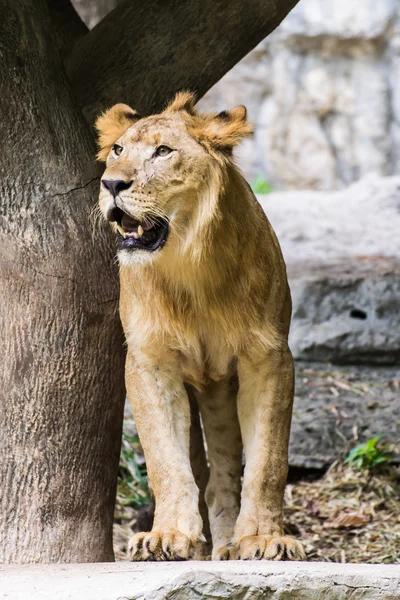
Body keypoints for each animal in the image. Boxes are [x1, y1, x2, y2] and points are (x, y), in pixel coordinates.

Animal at [95, 90, 304, 564]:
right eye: (117, 150)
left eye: (163, 151)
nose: (112, 185)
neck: (190, 268)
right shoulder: (149, 361)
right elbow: (164, 459)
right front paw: (167, 535)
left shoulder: (268, 358)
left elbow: (268, 461)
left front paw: (263, 538)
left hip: (223, 391)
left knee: (223, 477)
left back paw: (226, 544)